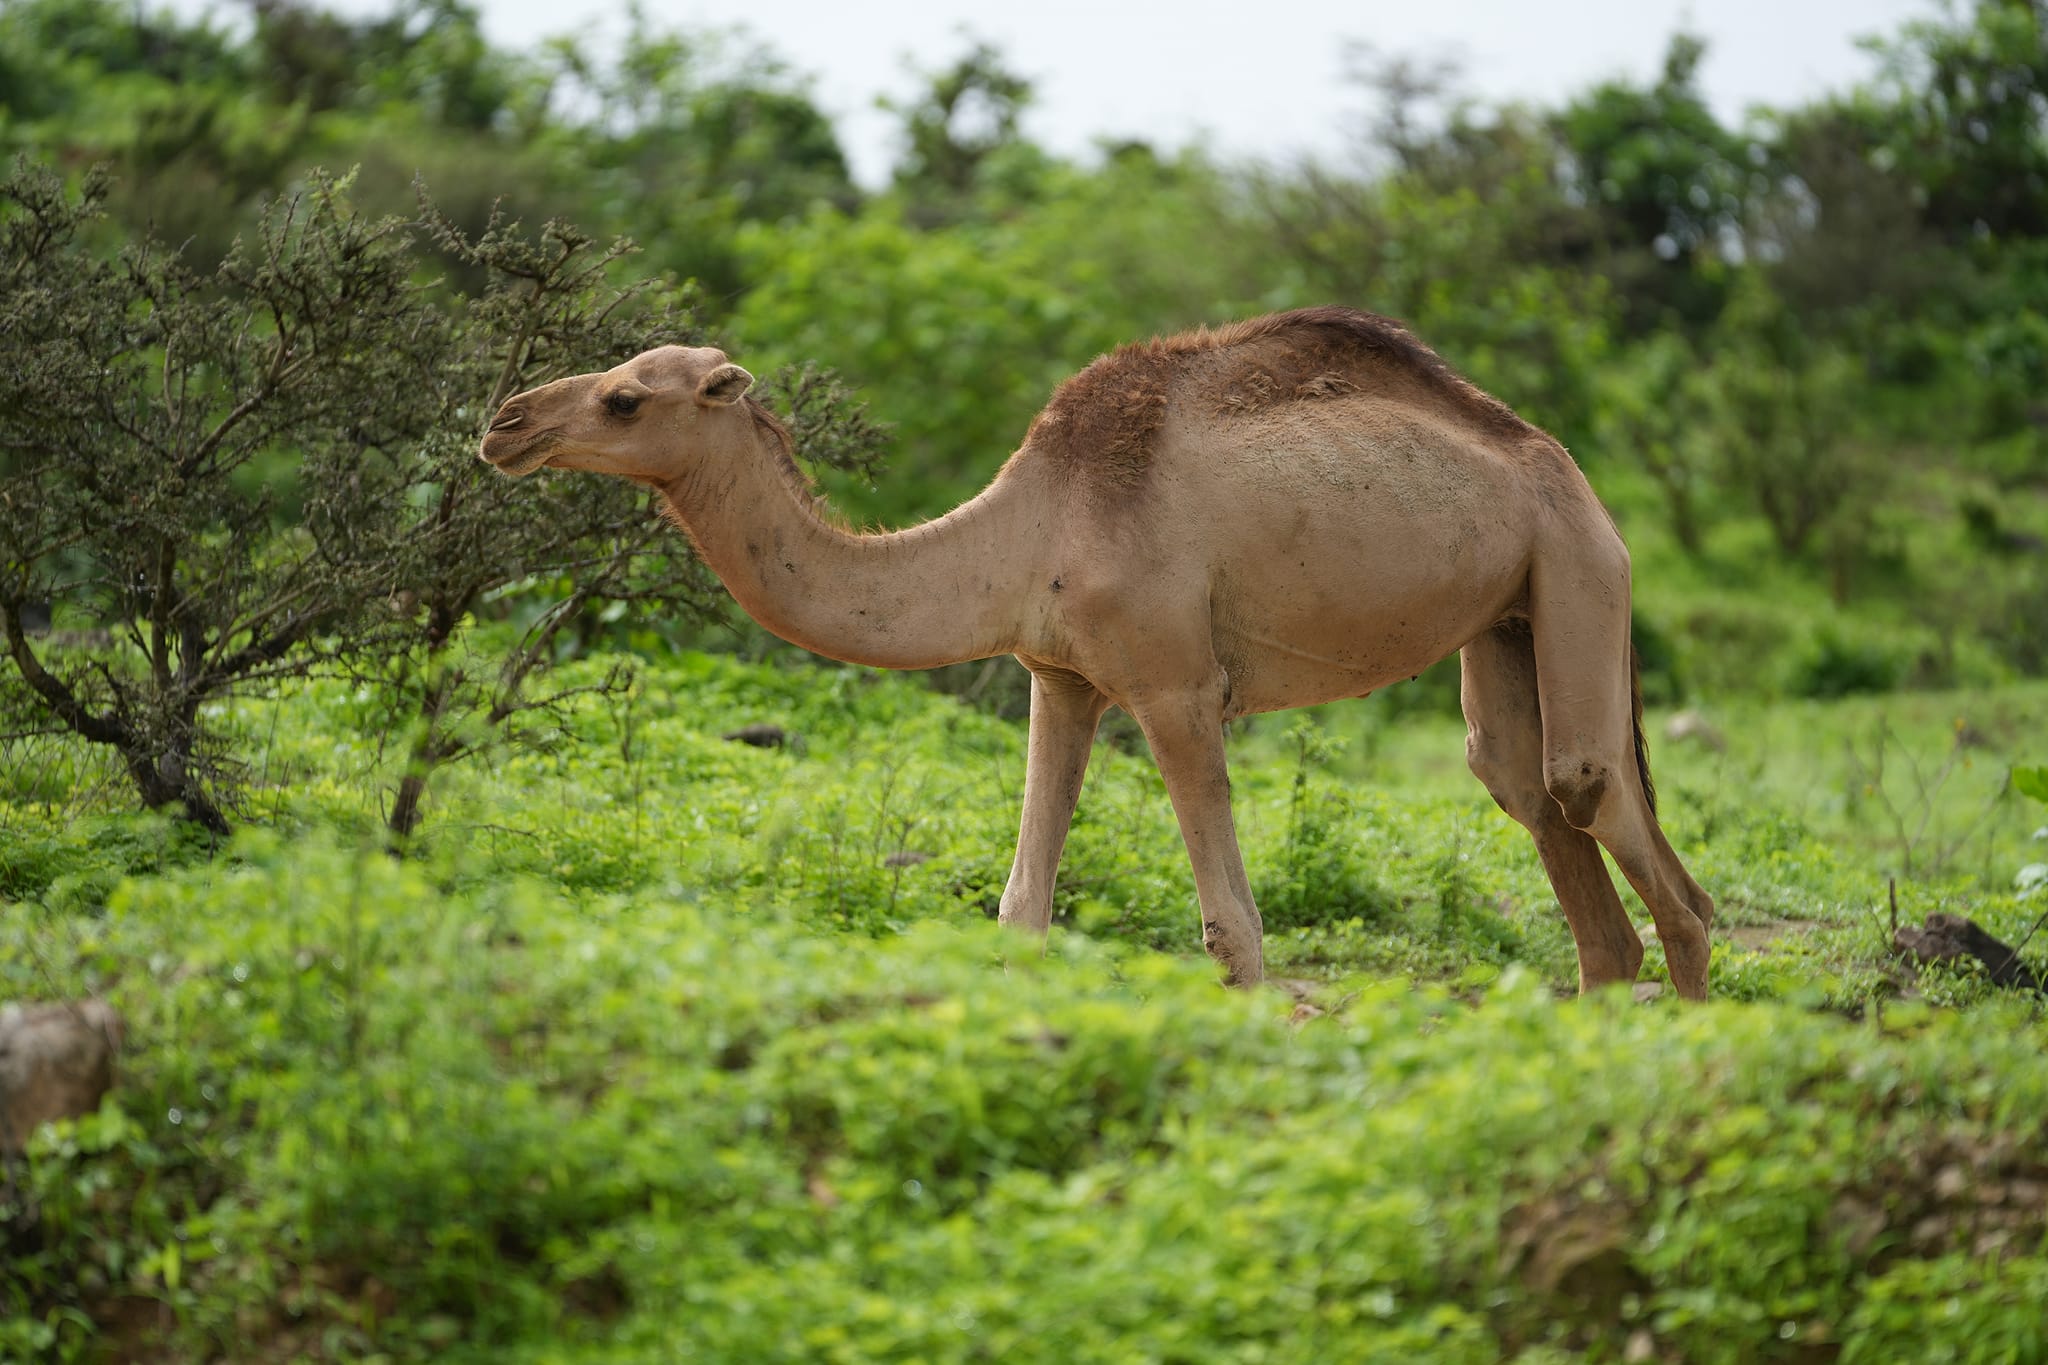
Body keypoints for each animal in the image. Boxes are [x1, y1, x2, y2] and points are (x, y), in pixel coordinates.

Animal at [487, 306, 1720, 994]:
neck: (1031, 525)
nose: (504, 422)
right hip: (1506, 615)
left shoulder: (1175, 686)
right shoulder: (1060, 678)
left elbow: (1232, 930)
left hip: (1578, 572)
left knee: (1622, 827)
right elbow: (1021, 908)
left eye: (625, 397)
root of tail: (1565, 470)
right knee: (1542, 819)